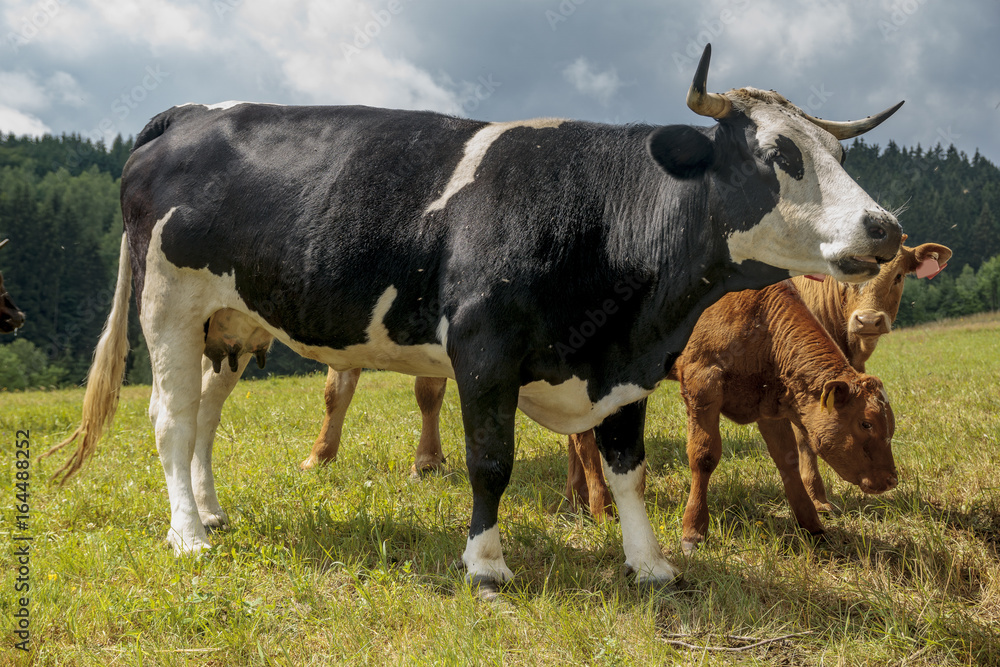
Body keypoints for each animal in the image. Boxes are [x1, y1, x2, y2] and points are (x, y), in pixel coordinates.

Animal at [50, 45, 904, 588]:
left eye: (839, 154)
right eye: (779, 156)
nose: (886, 227)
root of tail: (194, 111)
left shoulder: (625, 367)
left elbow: (628, 467)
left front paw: (651, 563)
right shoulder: (483, 348)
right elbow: (489, 460)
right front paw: (487, 563)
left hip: (230, 323)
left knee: (203, 416)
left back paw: (210, 510)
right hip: (168, 301)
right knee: (170, 416)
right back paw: (188, 535)